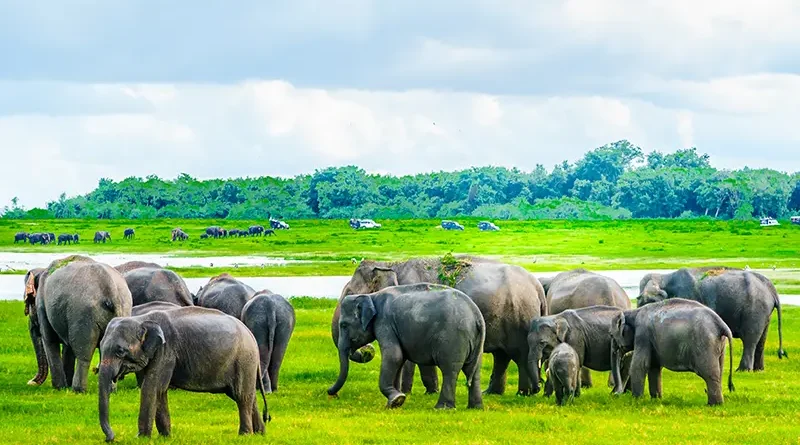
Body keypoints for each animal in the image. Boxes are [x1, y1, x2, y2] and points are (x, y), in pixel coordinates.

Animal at [34, 255, 133, 392]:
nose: (31, 382)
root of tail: (111, 288)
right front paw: (64, 386)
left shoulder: (42, 304)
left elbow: (49, 339)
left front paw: (59, 388)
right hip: (124, 310)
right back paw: (110, 390)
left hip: (83, 313)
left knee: (83, 352)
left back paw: (78, 390)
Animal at [98, 307, 269, 441]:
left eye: (120, 351)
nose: (110, 439)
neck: (142, 319)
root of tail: (251, 335)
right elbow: (159, 390)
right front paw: (165, 437)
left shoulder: (166, 351)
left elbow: (152, 387)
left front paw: (141, 438)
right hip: (245, 363)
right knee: (247, 395)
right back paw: (259, 434)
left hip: (244, 360)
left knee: (242, 396)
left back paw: (245, 435)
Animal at [328, 283, 485, 410]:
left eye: (344, 325)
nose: (332, 394)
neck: (372, 296)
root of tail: (477, 315)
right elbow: (400, 359)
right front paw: (394, 402)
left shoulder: (384, 322)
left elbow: (394, 356)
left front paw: (397, 400)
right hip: (475, 342)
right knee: (474, 371)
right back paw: (475, 408)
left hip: (453, 339)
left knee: (450, 370)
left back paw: (442, 408)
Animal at [333, 256, 547, 396]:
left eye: (350, 293)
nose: (366, 350)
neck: (391, 264)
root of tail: (537, 286)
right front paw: (427, 391)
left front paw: (414, 392)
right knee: (502, 356)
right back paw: (492, 393)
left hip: (519, 317)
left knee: (519, 355)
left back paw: (524, 393)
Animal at [638, 267, 786, 371]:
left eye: (650, 301)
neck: (664, 277)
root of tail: (771, 289)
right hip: (764, 311)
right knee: (761, 339)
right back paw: (758, 370)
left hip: (755, 308)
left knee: (750, 339)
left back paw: (743, 370)